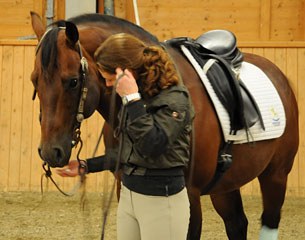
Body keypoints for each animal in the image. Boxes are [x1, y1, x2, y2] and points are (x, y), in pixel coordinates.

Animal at [30, 11, 296, 240]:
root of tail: (278, 75)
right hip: (225, 185)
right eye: (35, 81)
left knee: (269, 220)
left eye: (73, 81)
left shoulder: (189, 196)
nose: (50, 152)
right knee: (237, 224)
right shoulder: (124, 186)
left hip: (276, 176)